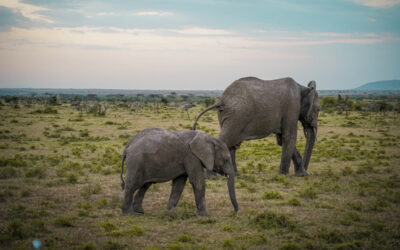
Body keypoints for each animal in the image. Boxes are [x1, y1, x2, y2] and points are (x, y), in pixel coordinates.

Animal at [192, 77, 320, 177]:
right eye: (318, 109)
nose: (306, 172)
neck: (303, 88)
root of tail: (221, 99)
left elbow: (282, 139)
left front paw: (301, 174)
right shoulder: (292, 108)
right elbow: (289, 137)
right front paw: (285, 175)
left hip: (227, 115)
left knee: (232, 144)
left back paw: (235, 175)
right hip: (237, 116)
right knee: (225, 140)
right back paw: (211, 177)